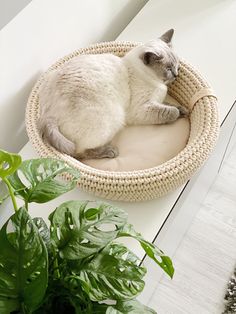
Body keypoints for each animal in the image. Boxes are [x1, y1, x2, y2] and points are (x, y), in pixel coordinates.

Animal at [37, 29, 187, 159]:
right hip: (113, 118)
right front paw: (177, 113)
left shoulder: (156, 101)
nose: (176, 74)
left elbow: (169, 105)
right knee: (79, 152)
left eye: (176, 64)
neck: (158, 83)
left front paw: (183, 110)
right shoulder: (142, 109)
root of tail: (47, 115)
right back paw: (110, 151)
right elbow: (170, 112)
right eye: (168, 68)